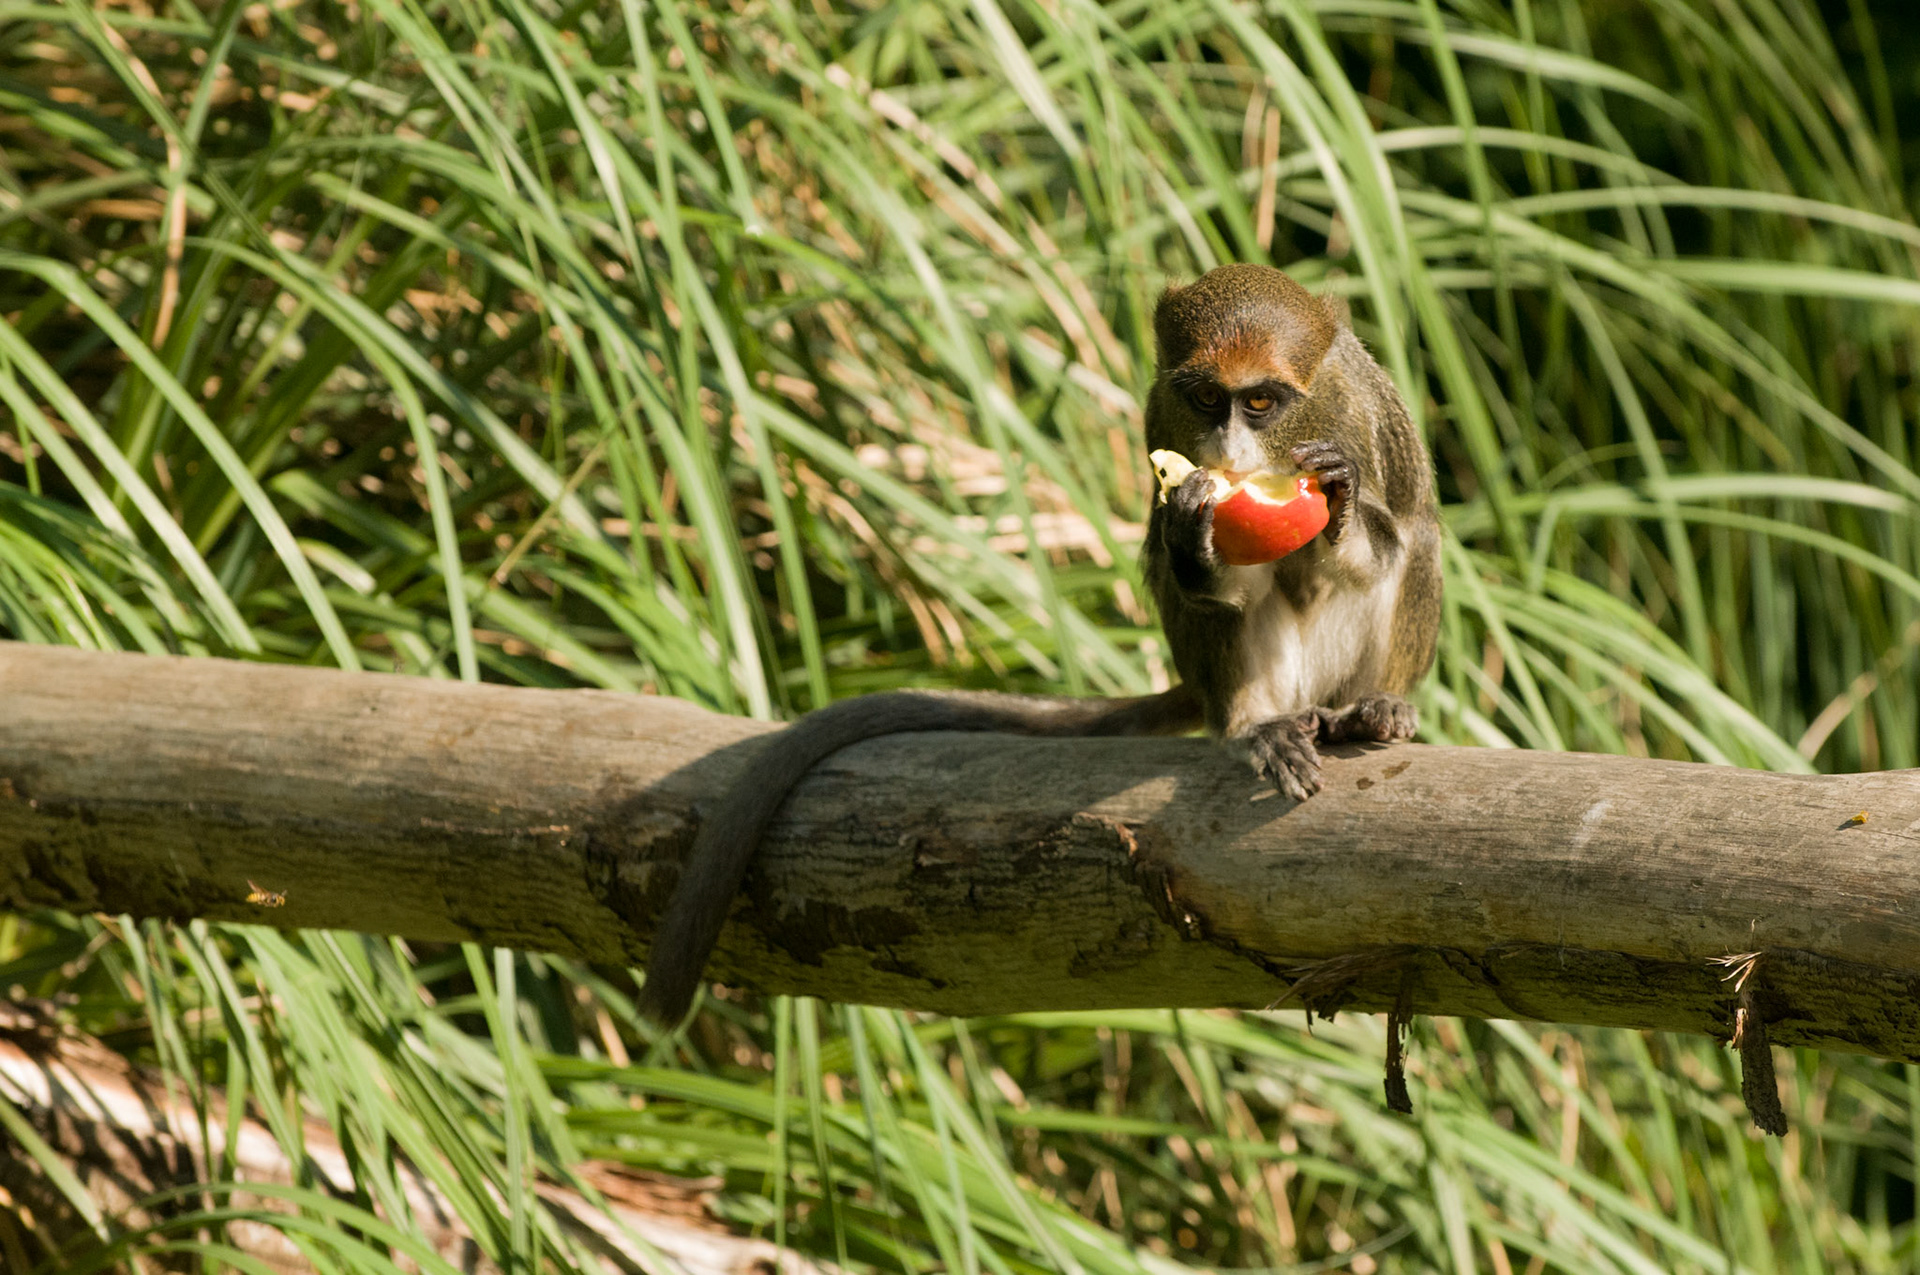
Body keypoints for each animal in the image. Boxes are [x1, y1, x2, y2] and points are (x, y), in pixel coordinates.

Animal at [634, 263, 1440, 1028]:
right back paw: (1251, 724)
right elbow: (1213, 581)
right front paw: (1191, 533)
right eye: (1209, 400)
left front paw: (1340, 501)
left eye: (1261, 404)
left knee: (1418, 545)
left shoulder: (1356, 416)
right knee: (1187, 593)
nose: (1229, 446)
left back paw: (1370, 710)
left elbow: (1387, 538)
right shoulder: (1161, 415)